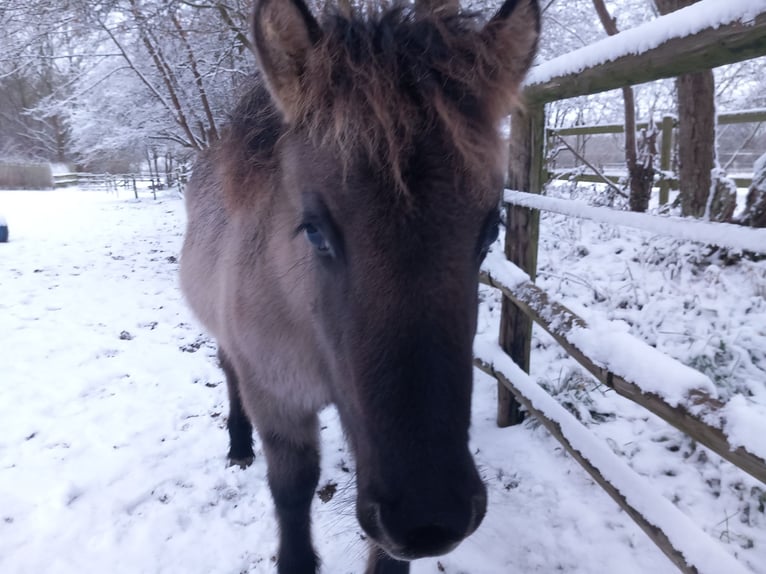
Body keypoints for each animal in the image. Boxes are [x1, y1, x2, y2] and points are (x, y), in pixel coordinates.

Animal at [180, 0, 539, 572]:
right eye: (314, 229)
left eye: (490, 230)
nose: (429, 517)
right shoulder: (278, 400)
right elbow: (293, 491)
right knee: (227, 369)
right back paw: (238, 444)